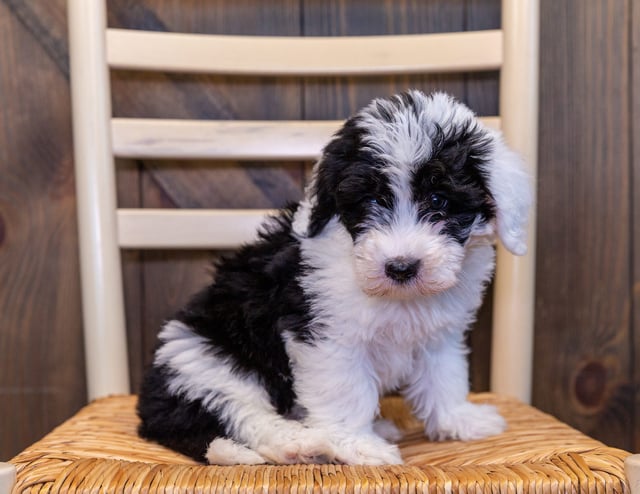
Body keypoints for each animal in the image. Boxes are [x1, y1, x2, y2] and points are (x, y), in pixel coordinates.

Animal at [138, 90, 532, 466]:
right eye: (371, 200)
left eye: (439, 200)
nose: (401, 267)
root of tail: (150, 412)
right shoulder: (327, 336)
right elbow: (345, 392)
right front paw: (358, 445)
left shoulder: (439, 335)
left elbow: (444, 378)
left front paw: (460, 420)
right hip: (210, 362)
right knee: (242, 415)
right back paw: (302, 445)